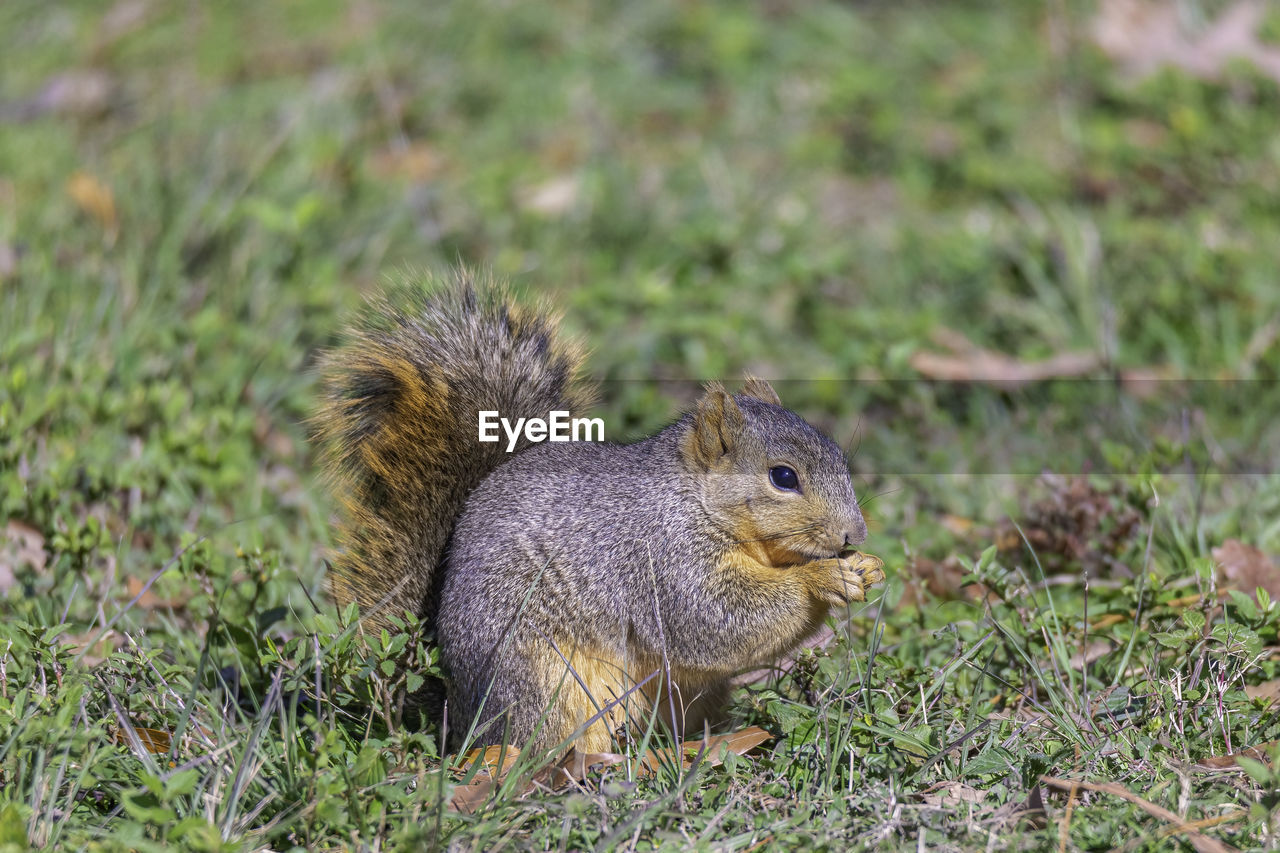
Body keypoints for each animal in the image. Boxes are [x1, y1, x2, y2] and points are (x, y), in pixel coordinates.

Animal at [314, 268, 885, 753]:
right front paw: (823, 578)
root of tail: (460, 708)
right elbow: (717, 618)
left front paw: (867, 568)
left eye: (838, 454)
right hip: (543, 682)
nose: (854, 534)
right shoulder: (662, 561)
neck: (696, 502)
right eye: (783, 477)